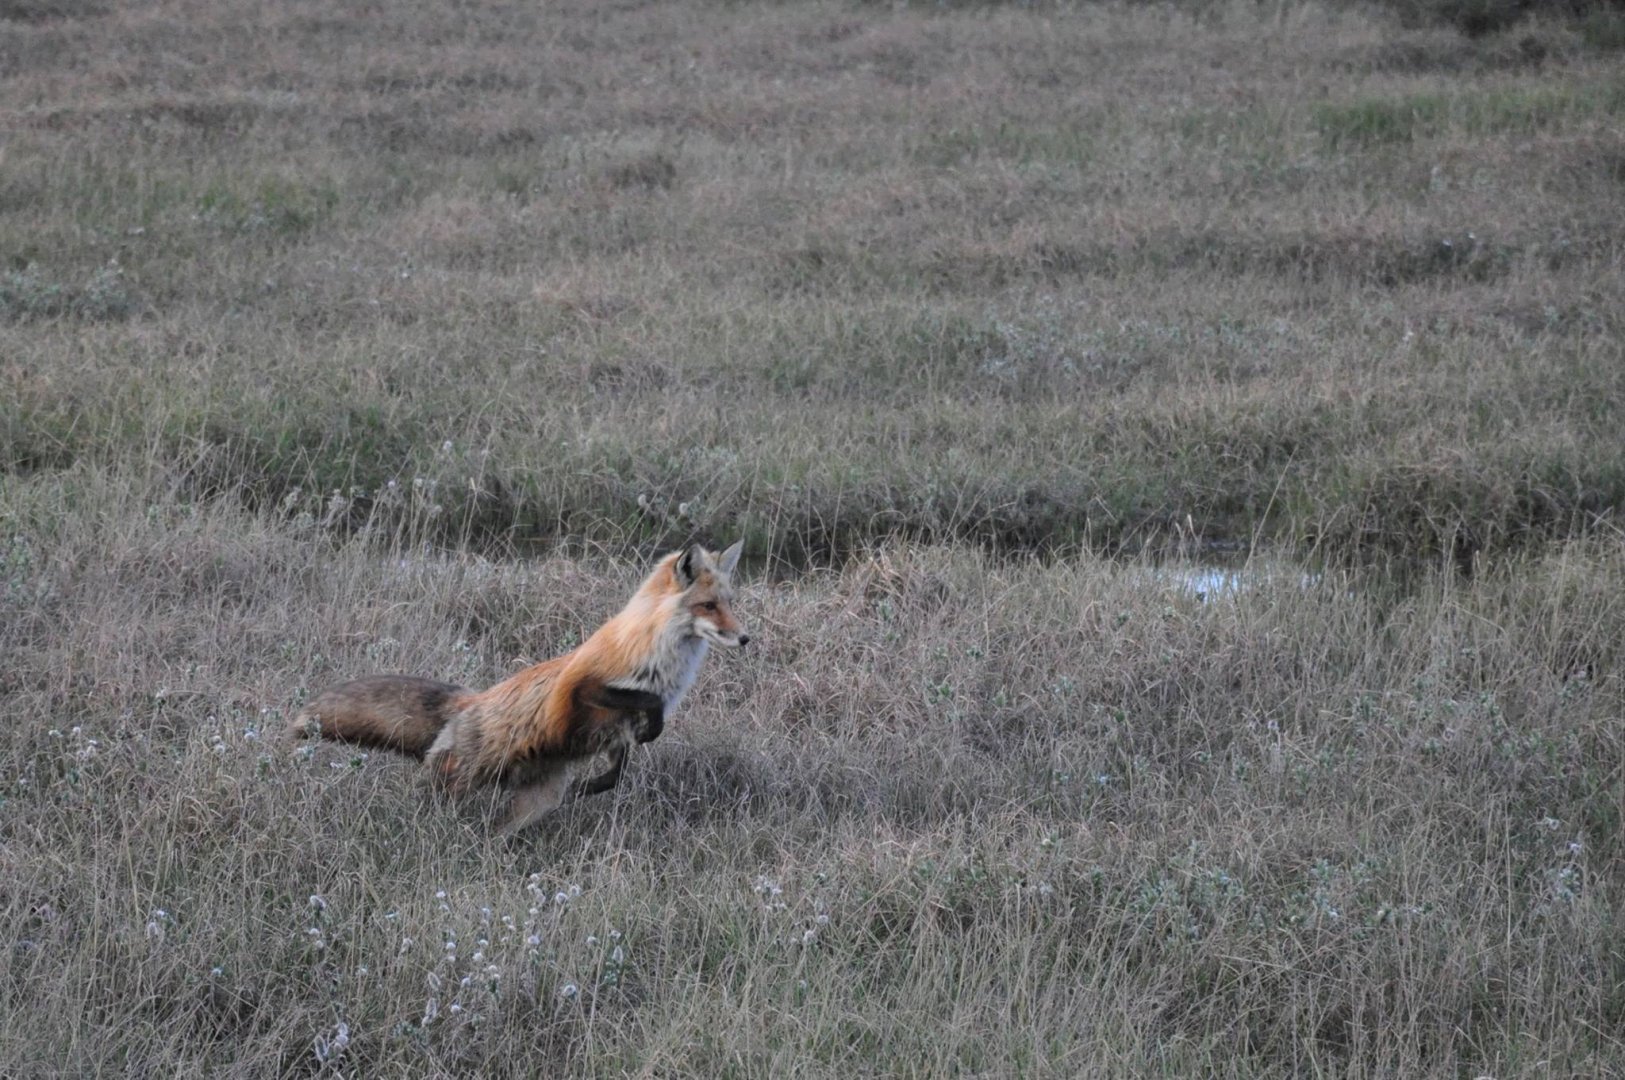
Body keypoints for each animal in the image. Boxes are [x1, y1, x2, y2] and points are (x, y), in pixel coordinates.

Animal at [288, 541, 749, 832]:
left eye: (729, 603)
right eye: (708, 606)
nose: (746, 638)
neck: (661, 657)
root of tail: (468, 701)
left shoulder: (616, 734)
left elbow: (616, 773)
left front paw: (589, 786)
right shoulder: (586, 689)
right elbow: (645, 701)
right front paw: (650, 729)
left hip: (533, 804)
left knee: (497, 830)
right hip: (455, 780)